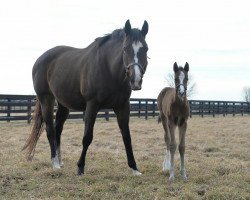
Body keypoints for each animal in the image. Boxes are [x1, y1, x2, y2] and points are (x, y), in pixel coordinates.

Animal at [22, 20, 148, 176]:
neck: (109, 69)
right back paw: (55, 163)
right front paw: (80, 167)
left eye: (146, 49)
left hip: (63, 104)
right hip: (46, 99)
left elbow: (127, 137)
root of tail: (39, 60)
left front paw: (134, 168)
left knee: (58, 129)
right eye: (125, 49)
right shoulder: (92, 105)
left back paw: (60, 160)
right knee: (50, 129)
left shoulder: (123, 106)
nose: (135, 80)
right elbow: (87, 137)